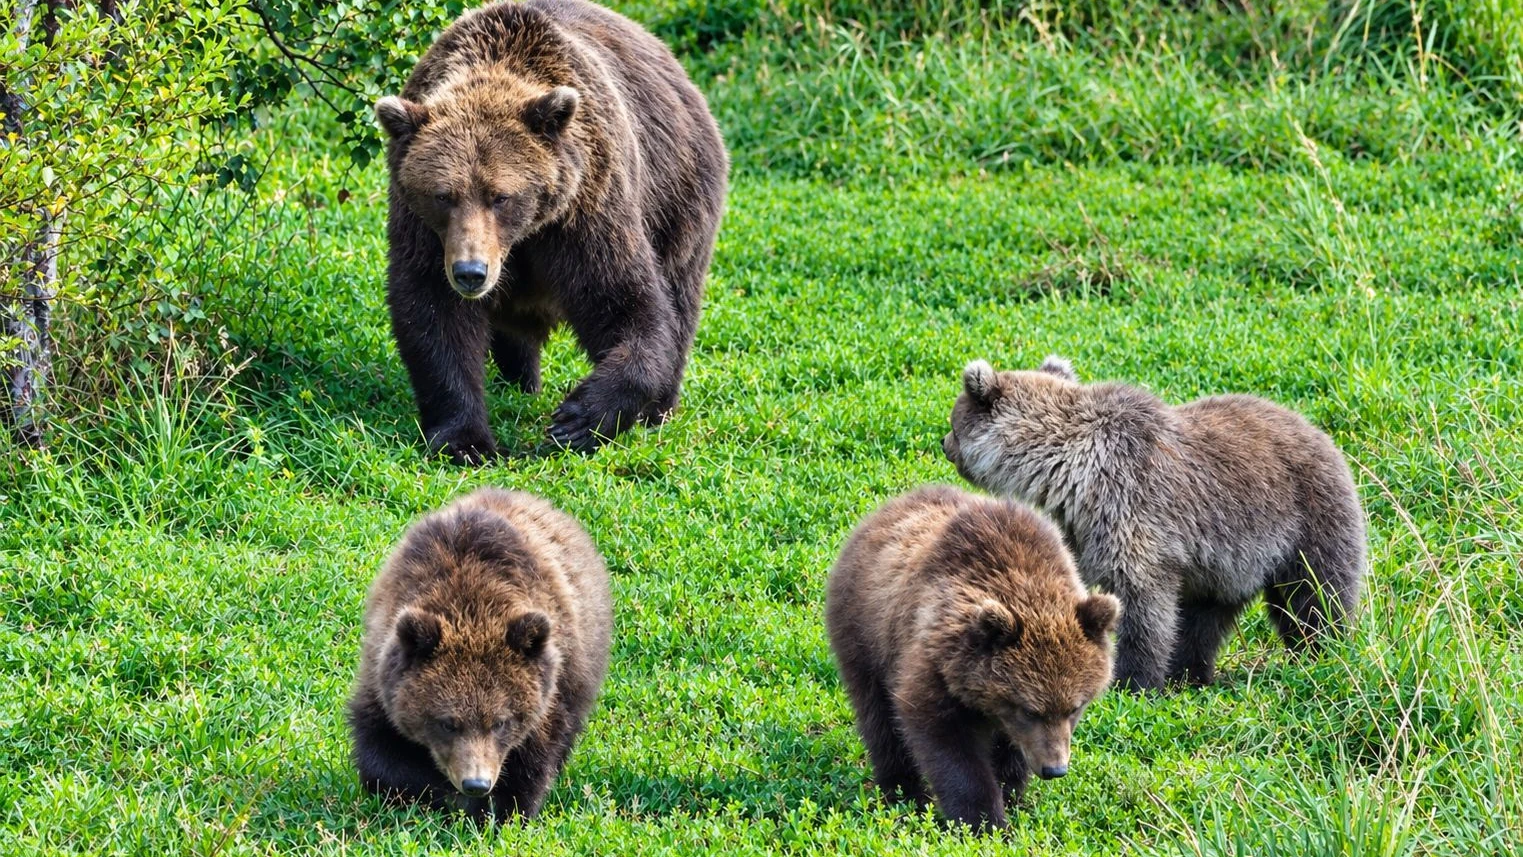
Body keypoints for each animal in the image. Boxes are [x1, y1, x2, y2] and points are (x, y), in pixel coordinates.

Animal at [348, 488, 612, 820]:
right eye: (447, 723)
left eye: (500, 722)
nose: (476, 783)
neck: (470, 606)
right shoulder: (382, 673)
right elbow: (383, 756)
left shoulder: (550, 691)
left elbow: (533, 761)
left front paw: (502, 810)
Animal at [375, 0, 728, 461]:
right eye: (443, 195)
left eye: (500, 196)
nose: (471, 273)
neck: (523, 236)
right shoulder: (424, 231)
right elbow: (433, 314)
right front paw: (465, 440)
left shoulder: (586, 209)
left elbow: (628, 304)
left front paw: (576, 421)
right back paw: (520, 380)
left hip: (679, 195)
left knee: (680, 294)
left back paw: (658, 409)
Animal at [825, 485, 1120, 831]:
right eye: (1030, 710)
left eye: (1075, 707)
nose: (1054, 768)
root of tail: (884, 511)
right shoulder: (936, 662)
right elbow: (947, 742)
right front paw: (984, 820)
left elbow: (1010, 749)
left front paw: (1011, 795)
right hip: (866, 633)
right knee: (879, 717)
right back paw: (902, 792)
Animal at [942, 356, 1367, 692]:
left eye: (953, 420)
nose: (945, 444)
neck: (1069, 469)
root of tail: (1326, 437)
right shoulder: (1084, 528)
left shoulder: (1133, 507)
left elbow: (1142, 604)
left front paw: (1131, 681)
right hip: (1225, 567)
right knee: (1203, 618)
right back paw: (1190, 675)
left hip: (1304, 520)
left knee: (1315, 596)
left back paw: (1321, 654)